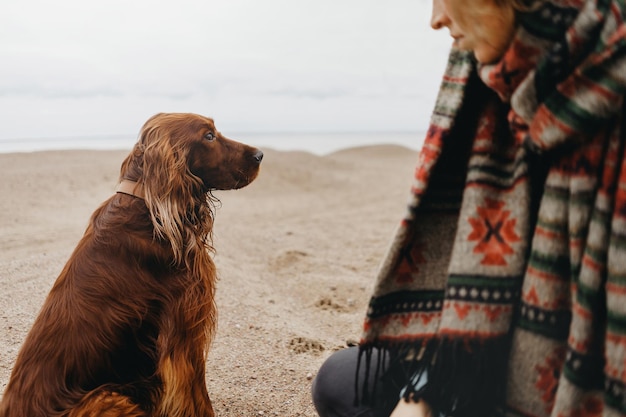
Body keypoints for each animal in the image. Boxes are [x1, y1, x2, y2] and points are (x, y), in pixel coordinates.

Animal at [0, 112, 262, 414]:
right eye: (208, 136)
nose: (260, 155)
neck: (146, 203)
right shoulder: (184, 331)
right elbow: (196, 396)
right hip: (105, 398)